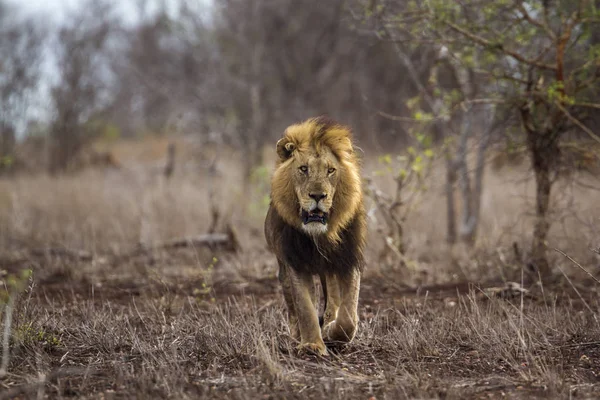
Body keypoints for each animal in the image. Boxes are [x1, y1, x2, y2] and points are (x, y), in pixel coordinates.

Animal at [264, 116, 366, 356]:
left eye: (331, 170)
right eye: (303, 169)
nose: (318, 195)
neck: (319, 236)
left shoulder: (348, 259)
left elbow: (348, 316)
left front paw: (332, 332)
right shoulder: (295, 262)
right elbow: (305, 308)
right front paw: (311, 344)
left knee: (334, 298)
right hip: (283, 267)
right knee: (292, 303)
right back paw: (297, 334)